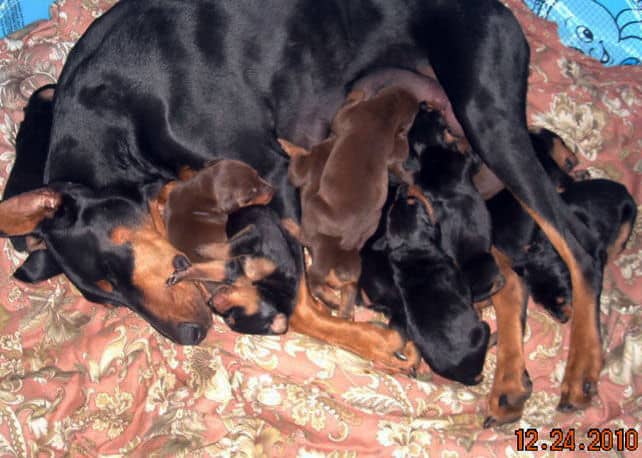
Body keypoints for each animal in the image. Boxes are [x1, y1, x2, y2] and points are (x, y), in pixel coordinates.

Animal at [278, 86, 418, 316]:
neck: (385, 112)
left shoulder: (337, 126)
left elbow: (297, 159)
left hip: (314, 214)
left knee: (314, 277)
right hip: (354, 267)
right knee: (349, 289)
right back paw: (343, 311)